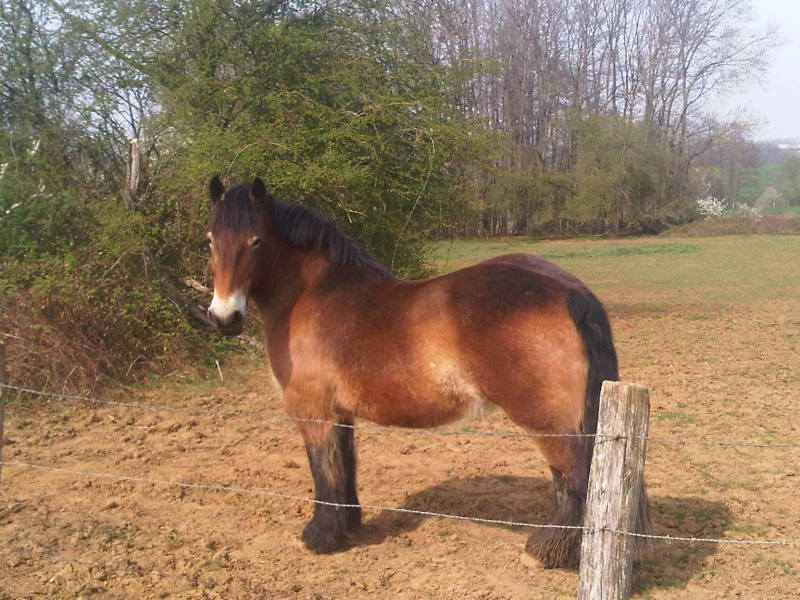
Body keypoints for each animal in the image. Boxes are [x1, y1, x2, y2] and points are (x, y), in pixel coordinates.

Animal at [202, 177, 648, 568]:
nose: (224, 318)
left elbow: (323, 470)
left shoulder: (313, 411)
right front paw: (348, 527)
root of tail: (568, 289)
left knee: (577, 478)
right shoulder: (340, 413)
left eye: (255, 241)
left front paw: (319, 536)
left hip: (548, 422)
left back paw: (546, 553)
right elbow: (344, 467)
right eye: (209, 239)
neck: (311, 295)